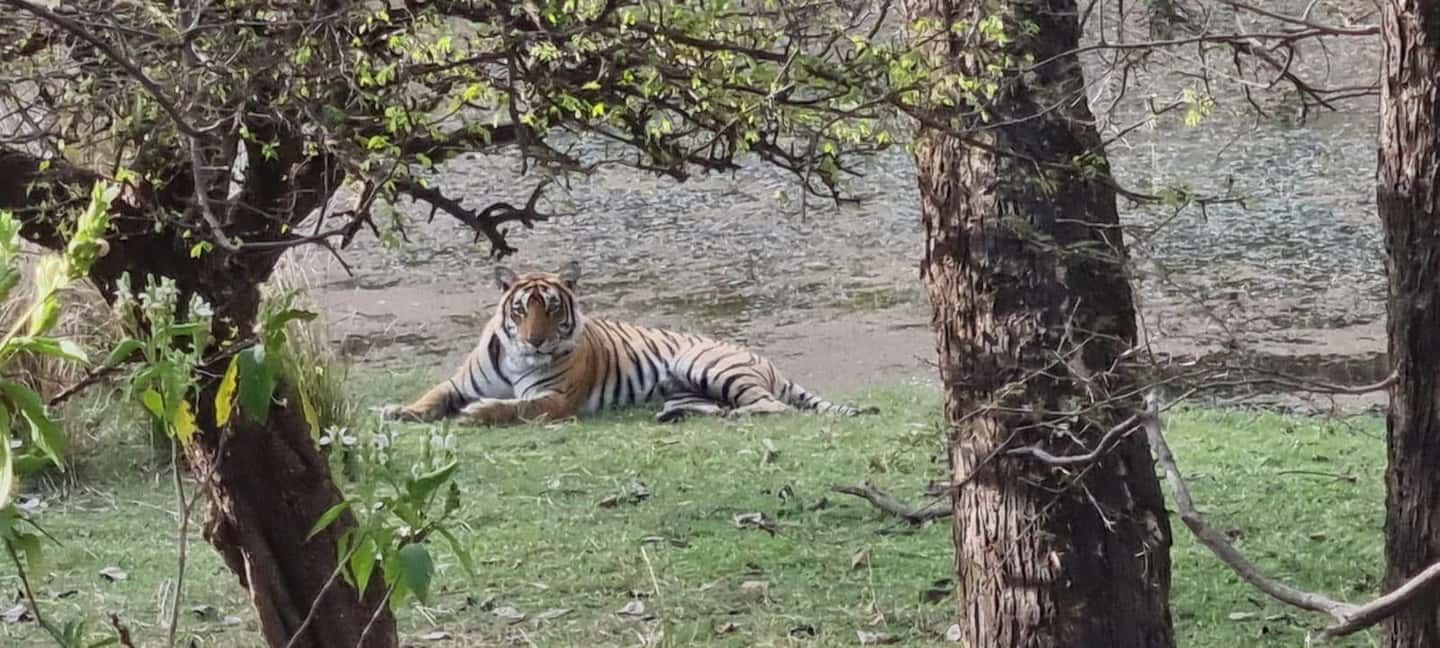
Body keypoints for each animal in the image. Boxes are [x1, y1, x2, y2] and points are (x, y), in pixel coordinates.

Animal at [378, 262, 878, 425]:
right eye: (521, 310)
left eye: (553, 309)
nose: (536, 342)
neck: (518, 358)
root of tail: (765, 359)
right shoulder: (458, 382)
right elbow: (432, 396)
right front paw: (398, 410)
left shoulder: (553, 398)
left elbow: (516, 407)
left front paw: (479, 414)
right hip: (687, 386)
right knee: (720, 407)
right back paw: (673, 416)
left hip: (705, 363)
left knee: (769, 406)